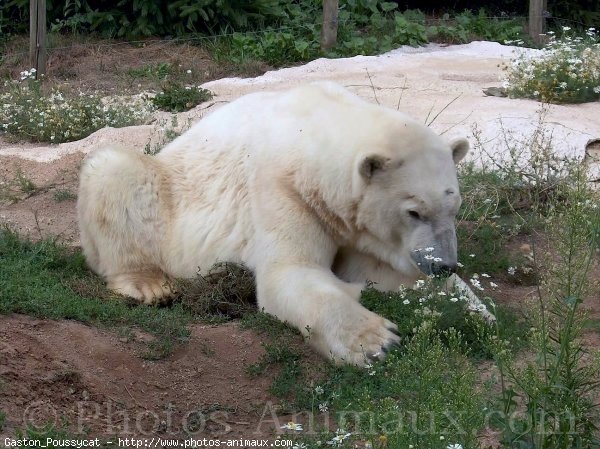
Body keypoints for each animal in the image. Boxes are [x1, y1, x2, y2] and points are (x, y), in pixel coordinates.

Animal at [77, 82, 468, 366]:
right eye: (414, 211)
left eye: (454, 206)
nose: (443, 263)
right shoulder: (283, 189)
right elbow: (289, 273)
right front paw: (376, 341)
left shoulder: (356, 227)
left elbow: (380, 269)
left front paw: (464, 302)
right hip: (164, 192)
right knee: (114, 170)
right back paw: (149, 284)